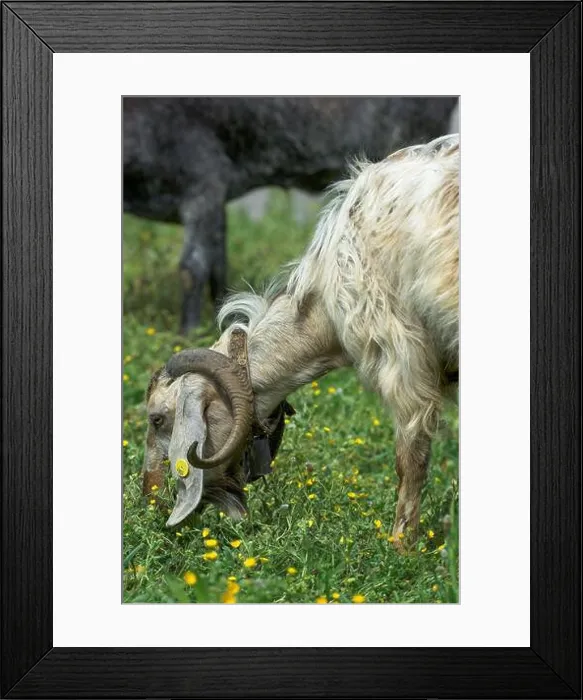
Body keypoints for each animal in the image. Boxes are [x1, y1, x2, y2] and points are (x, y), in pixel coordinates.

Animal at [141, 134, 459, 544]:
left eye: (158, 419)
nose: (148, 499)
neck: (323, 299)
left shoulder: (402, 357)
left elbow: (411, 459)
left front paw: (400, 544)